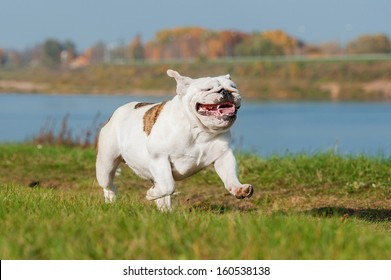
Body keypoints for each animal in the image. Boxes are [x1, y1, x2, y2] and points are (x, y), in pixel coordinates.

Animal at [95, 69, 254, 210]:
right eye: (207, 89)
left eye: (233, 87)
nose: (226, 91)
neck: (198, 130)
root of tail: (117, 112)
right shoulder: (160, 158)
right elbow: (168, 186)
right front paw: (151, 194)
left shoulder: (223, 156)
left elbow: (229, 175)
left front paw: (239, 189)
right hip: (106, 163)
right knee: (108, 184)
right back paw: (112, 201)